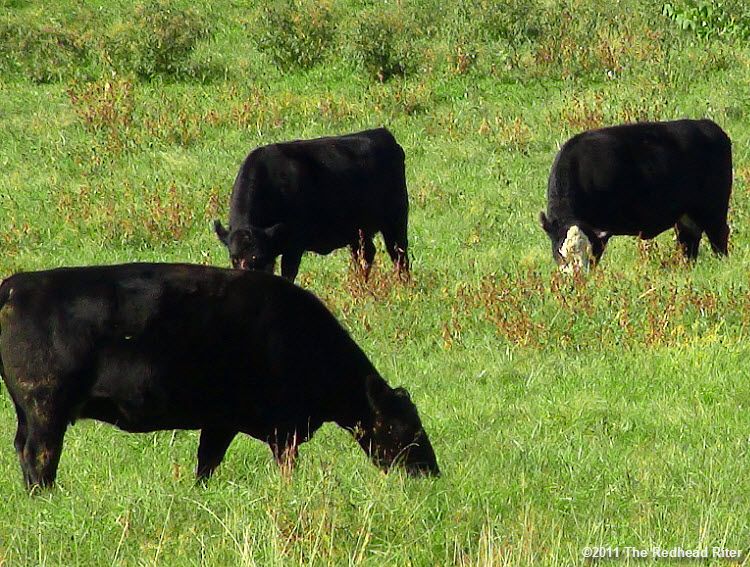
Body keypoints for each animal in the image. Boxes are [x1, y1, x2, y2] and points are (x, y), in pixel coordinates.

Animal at [0, 264, 440, 490]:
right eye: (409, 428)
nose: (431, 473)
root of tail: (17, 285)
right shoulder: (284, 429)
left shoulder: (220, 422)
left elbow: (206, 463)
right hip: (46, 410)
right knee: (40, 455)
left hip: (30, 414)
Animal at [212, 127, 412, 282]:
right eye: (234, 258)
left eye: (260, 258)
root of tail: (382, 133)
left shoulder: (294, 245)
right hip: (357, 231)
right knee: (366, 254)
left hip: (396, 220)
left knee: (399, 254)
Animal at [540, 118, 736, 270]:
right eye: (561, 253)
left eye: (590, 254)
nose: (578, 279)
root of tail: (709, 126)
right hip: (687, 215)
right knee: (689, 240)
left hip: (714, 207)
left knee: (718, 235)